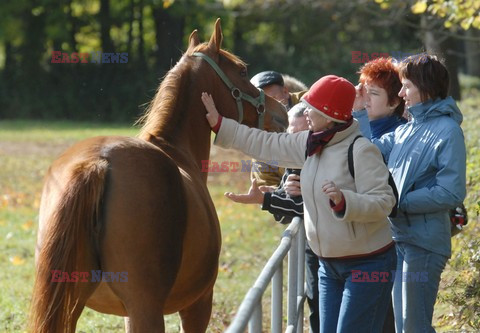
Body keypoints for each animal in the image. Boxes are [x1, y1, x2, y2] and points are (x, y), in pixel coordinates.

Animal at [30, 18, 286, 332]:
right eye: (242, 71)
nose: (281, 111)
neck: (175, 148)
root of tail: (97, 163)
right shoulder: (198, 304)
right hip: (147, 308)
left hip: (70, 306)